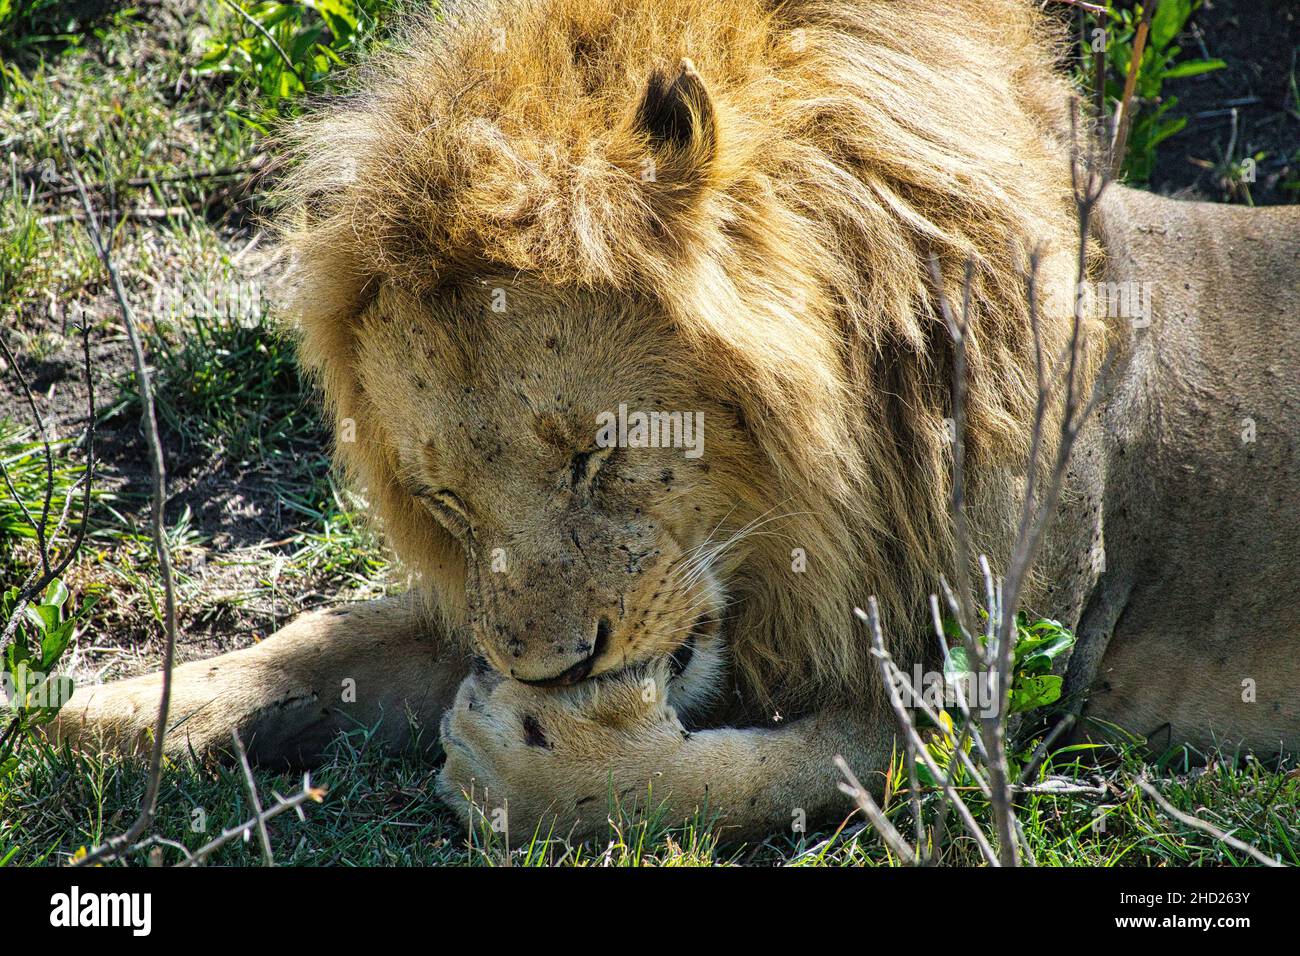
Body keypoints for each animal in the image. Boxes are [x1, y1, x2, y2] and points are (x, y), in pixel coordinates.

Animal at [51, 0, 1300, 842]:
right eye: (446, 500)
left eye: (597, 454)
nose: (550, 671)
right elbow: (343, 635)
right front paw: (128, 709)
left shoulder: (1002, 682)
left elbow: (779, 771)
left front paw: (528, 762)